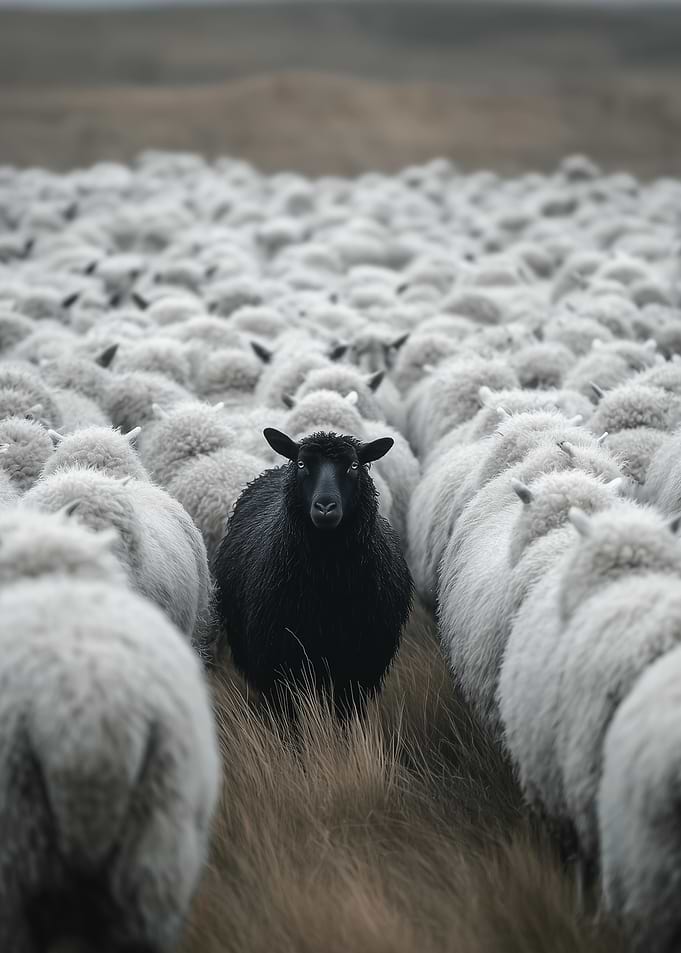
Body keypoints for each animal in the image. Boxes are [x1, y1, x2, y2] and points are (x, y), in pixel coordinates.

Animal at [213, 429, 413, 716]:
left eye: (354, 465)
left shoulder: (360, 666)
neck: (327, 582)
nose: (326, 507)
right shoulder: (278, 665)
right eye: (301, 464)